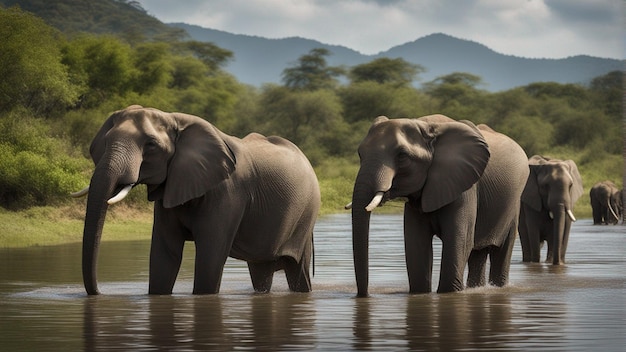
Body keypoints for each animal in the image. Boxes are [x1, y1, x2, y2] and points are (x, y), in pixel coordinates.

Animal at [70, 104, 320, 294]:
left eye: (151, 145)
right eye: (106, 141)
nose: (99, 293)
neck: (175, 120)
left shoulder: (228, 192)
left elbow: (210, 257)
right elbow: (164, 255)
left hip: (305, 216)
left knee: (298, 272)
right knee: (261, 271)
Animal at [346, 114, 528, 296]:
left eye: (402, 156)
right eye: (360, 153)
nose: (364, 295)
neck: (426, 126)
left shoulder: (464, 186)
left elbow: (458, 242)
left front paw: (449, 293)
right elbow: (416, 245)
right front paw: (420, 293)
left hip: (514, 203)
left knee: (501, 250)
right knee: (477, 253)